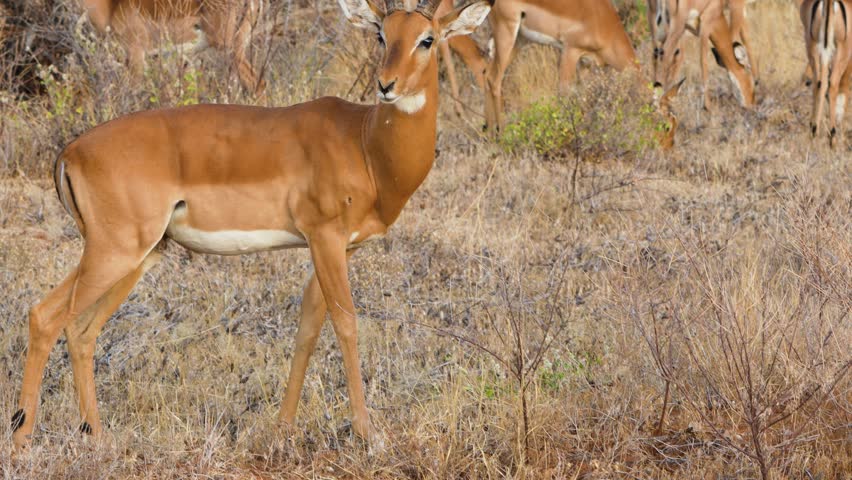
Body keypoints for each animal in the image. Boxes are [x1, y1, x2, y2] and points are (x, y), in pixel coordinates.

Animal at [482, 0, 639, 132]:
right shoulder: (570, 51)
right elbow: (563, 93)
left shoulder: (585, 64)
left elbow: (583, 96)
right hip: (506, 34)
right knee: (494, 78)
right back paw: (502, 133)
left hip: (519, 40)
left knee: (486, 74)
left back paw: (490, 134)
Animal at [800, 0, 851, 146]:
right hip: (841, 49)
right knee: (832, 84)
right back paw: (832, 137)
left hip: (813, 45)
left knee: (819, 83)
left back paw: (813, 131)